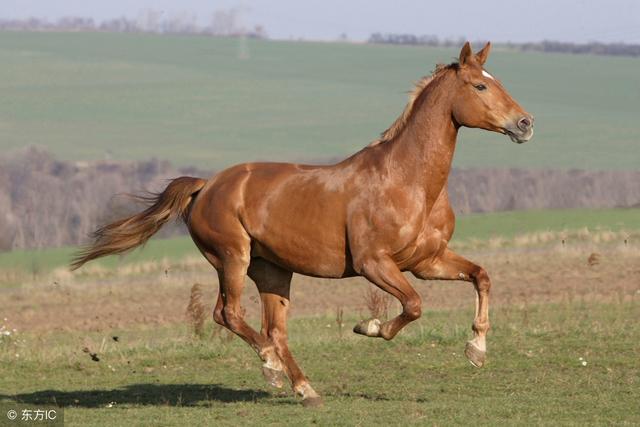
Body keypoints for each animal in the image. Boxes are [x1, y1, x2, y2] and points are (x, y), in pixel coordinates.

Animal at [72, 42, 536, 408]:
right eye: (480, 86)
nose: (526, 124)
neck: (409, 182)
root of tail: (206, 186)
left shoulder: (428, 261)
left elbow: (481, 277)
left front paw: (476, 350)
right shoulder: (374, 263)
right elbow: (413, 305)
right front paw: (368, 326)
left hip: (273, 271)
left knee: (274, 330)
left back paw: (303, 388)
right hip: (233, 258)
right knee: (230, 314)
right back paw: (272, 369)